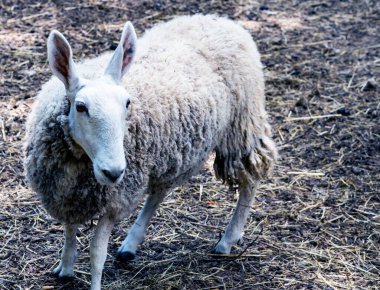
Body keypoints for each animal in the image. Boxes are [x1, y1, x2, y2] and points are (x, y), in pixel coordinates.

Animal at [25, 15, 278, 290]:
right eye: (80, 107)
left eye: (127, 103)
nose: (113, 172)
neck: (81, 161)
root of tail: (219, 20)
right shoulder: (65, 193)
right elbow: (70, 231)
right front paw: (66, 268)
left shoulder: (116, 198)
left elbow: (96, 253)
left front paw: (93, 282)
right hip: (172, 152)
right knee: (159, 192)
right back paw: (130, 244)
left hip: (242, 127)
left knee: (250, 179)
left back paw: (227, 240)